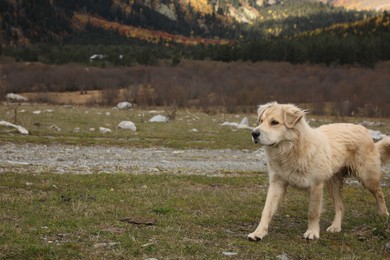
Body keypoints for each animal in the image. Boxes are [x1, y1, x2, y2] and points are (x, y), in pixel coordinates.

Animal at [248, 102, 388, 241]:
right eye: (261, 121)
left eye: (274, 122)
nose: (254, 133)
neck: (291, 150)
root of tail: (362, 129)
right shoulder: (277, 183)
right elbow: (267, 210)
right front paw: (258, 232)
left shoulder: (316, 185)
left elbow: (313, 212)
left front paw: (312, 232)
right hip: (333, 184)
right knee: (340, 206)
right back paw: (336, 226)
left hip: (367, 177)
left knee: (379, 193)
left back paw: (383, 214)